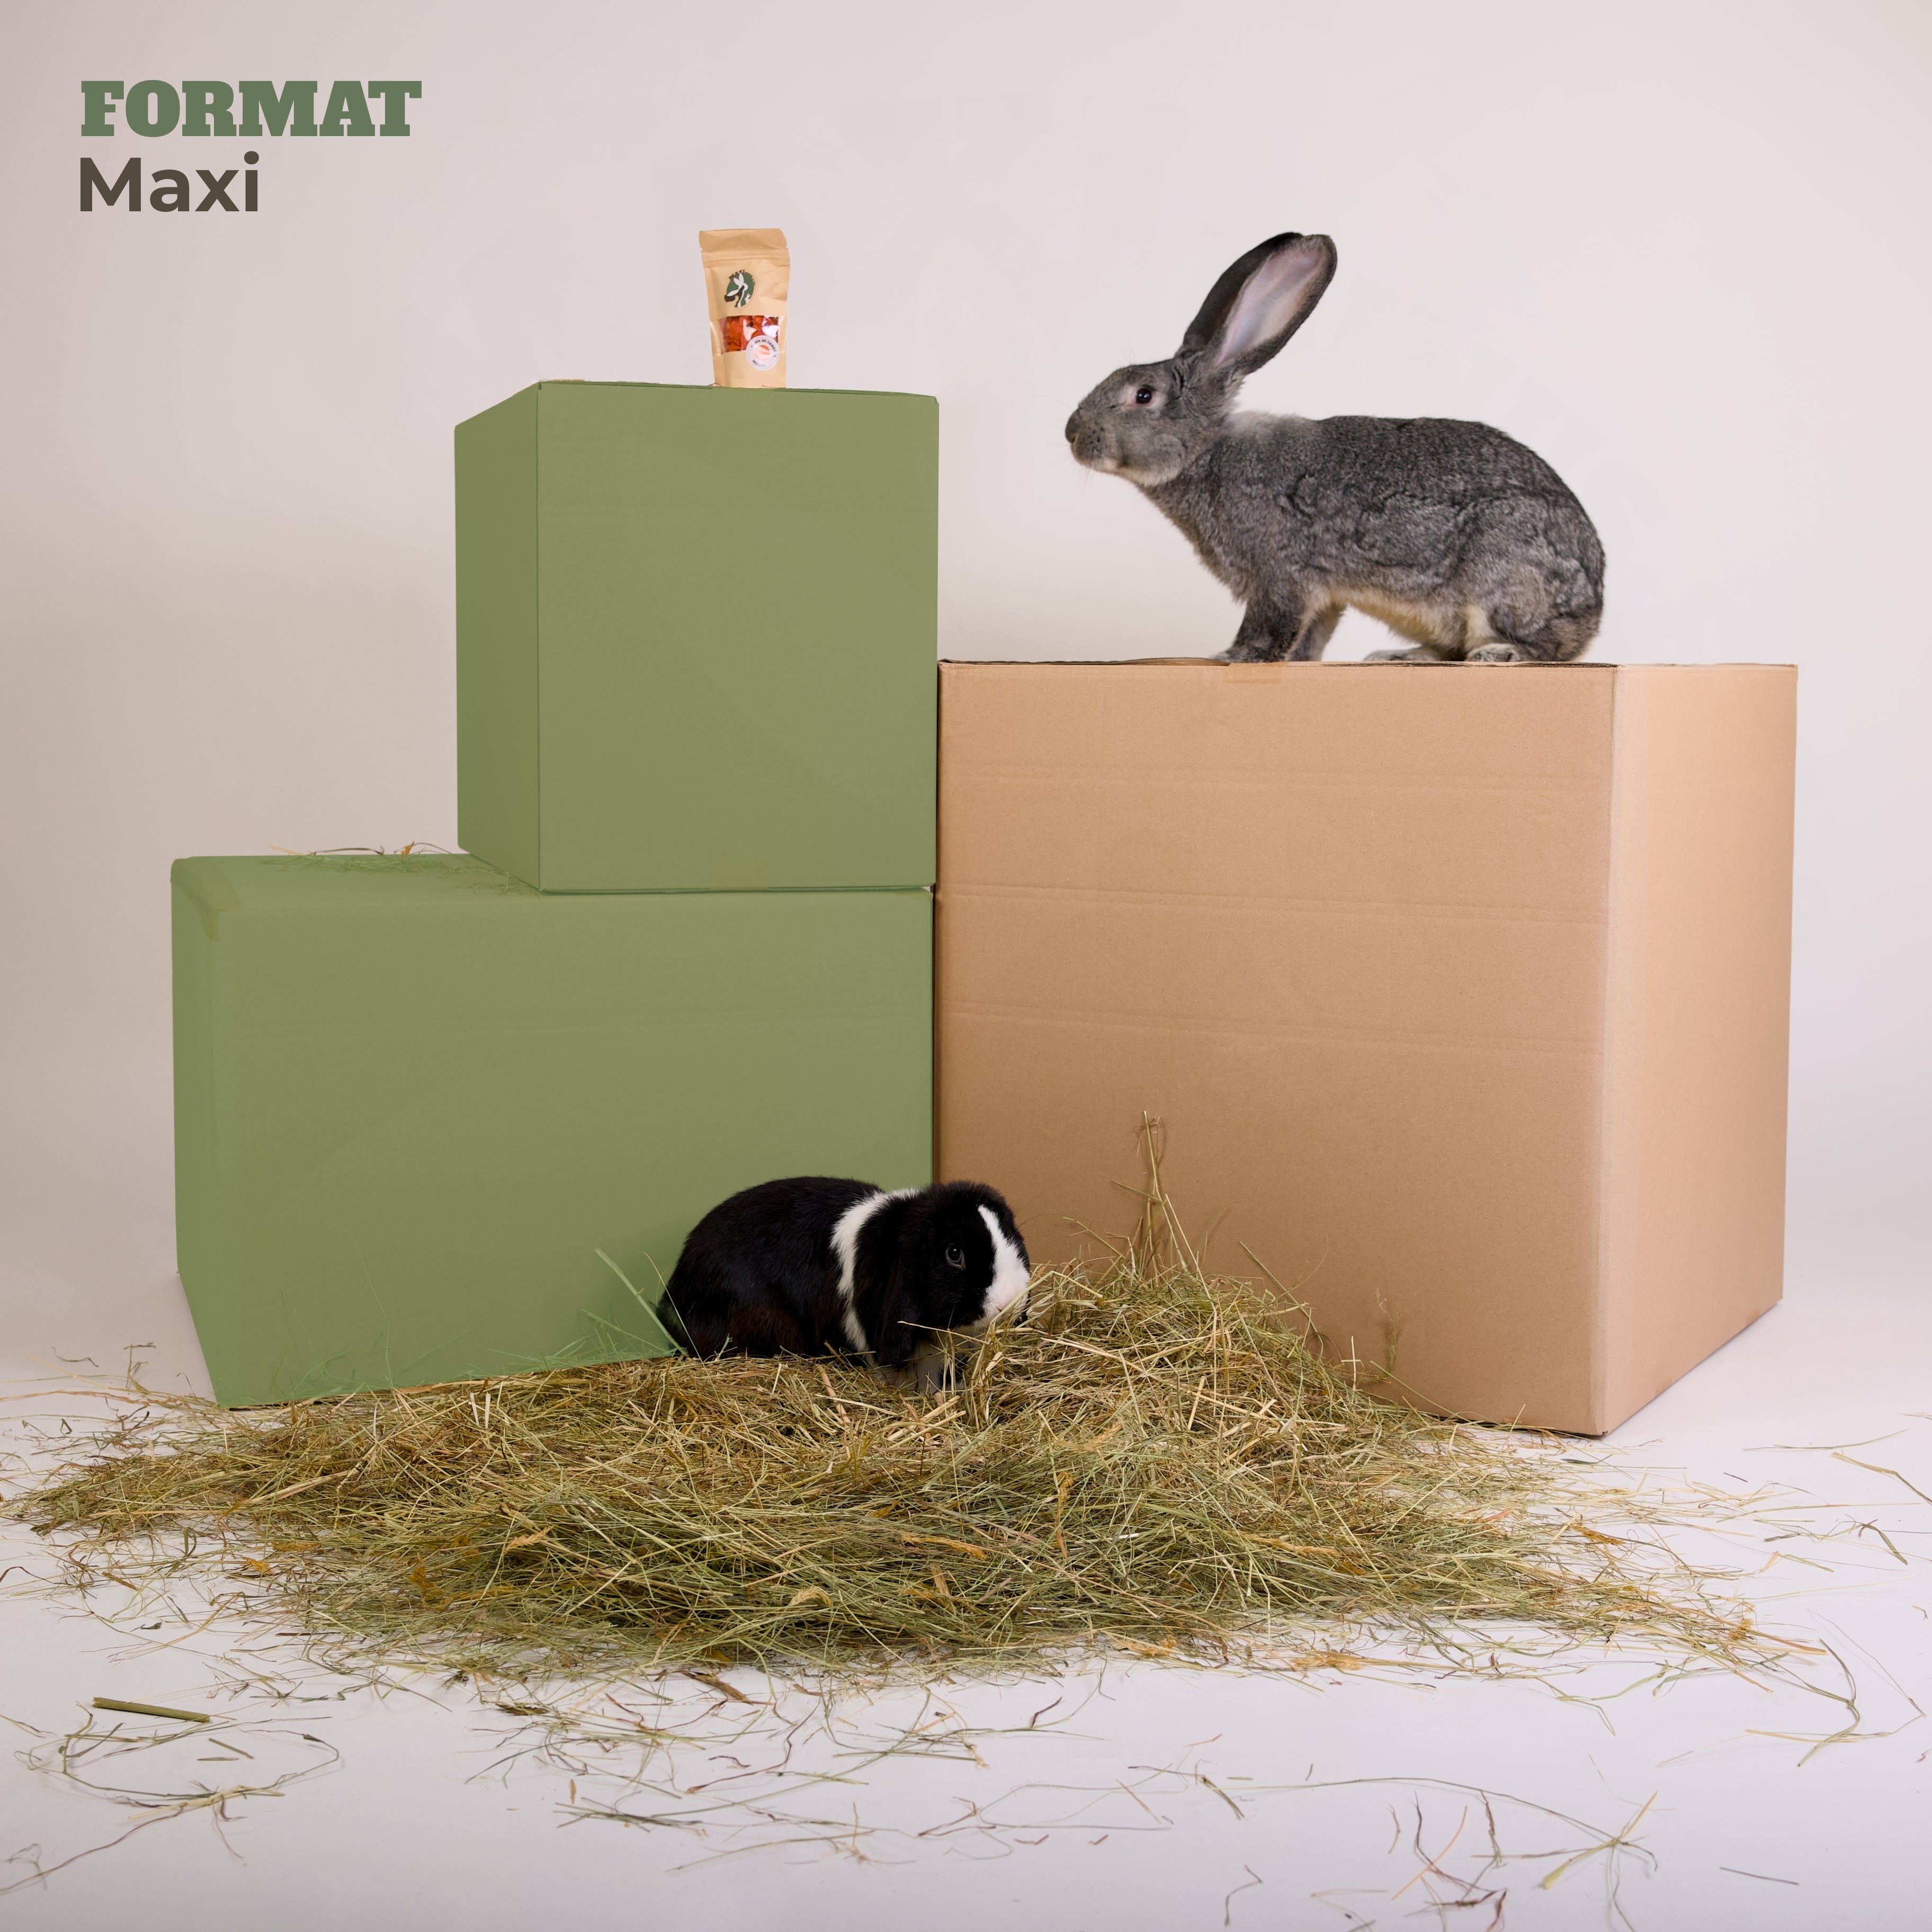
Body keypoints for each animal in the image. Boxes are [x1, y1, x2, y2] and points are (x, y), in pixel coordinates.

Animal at [1064, 233, 1604, 664]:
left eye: (1142, 396)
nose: (1071, 433)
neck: (1207, 454)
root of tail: (1595, 604)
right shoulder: (1323, 596)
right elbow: (1311, 637)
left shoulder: (1281, 575)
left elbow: (1271, 626)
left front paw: (1235, 657)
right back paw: (1401, 655)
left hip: (1501, 582)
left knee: (1548, 649)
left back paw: (1499, 653)